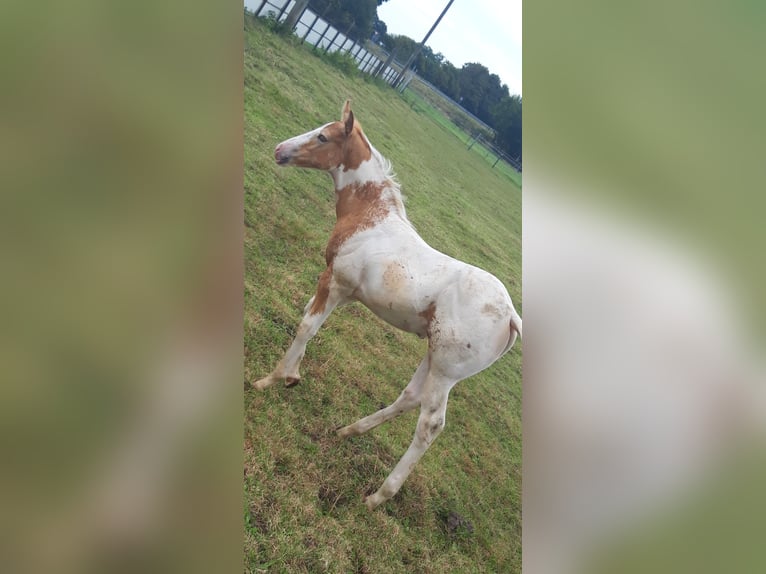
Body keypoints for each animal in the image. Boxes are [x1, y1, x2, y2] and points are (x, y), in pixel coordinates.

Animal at [255, 100, 522, 510]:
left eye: (323, 137)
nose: (280, 150)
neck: (371, 218)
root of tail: (511, 317)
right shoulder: (344, 291)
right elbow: (309, 319)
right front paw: (293, 376)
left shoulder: (335, 281)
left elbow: (307, 326)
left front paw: (271, 379)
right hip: (436, 358)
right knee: (410, 397)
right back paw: (347, 431)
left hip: (446, 370)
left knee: (430, 423)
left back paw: (378, 495)